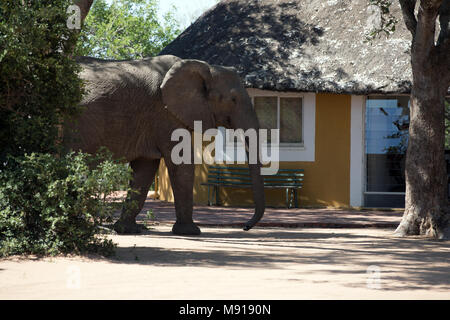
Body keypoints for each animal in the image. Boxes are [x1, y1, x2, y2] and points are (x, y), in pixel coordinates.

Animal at [66, 55, 264, 235]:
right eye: (233, 99)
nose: (245, 227)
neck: (205, 66)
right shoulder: (165, 114)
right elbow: (181, 164)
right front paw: (191, 232)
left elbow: (144, 170)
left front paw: (128, 230)